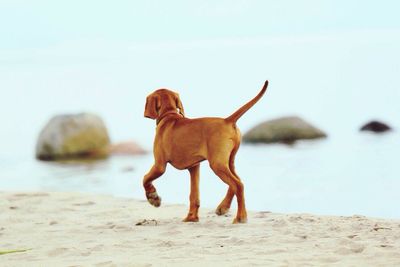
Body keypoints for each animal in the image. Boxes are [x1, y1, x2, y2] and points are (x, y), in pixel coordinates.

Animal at [144, 80, 268, 224]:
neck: (168, 116)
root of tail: (227, 120)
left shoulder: (159, 165)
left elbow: (145, 178)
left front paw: (153, 197)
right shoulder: (194, 167)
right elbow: (194, 195)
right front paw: (192, 217)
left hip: (217, 164)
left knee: (238, 185)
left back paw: (240, 216)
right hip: (228, 161)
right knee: (237, 182)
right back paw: (223, 207)